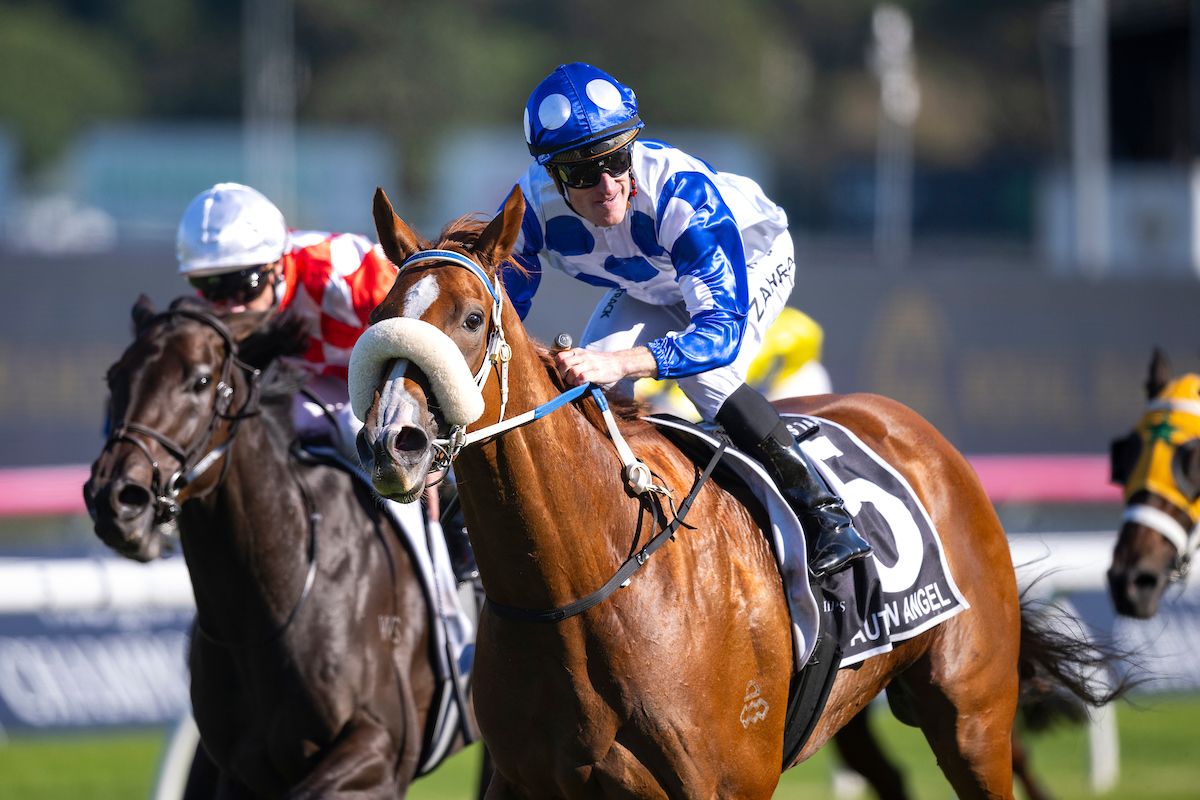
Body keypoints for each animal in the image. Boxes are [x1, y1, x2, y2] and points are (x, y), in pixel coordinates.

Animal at [351, 185, 1123, 799]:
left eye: (473, 320)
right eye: (380, 315)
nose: (393, 441)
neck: (582, 587)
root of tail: (919, 432)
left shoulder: (724, 783)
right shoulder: (526, 780)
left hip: (972, 715)